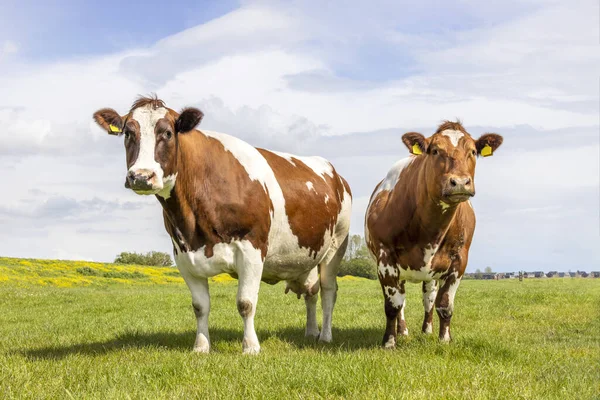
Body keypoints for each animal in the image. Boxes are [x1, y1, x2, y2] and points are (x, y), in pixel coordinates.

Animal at [93, 96, 352, 354]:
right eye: (128, 133)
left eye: (167, 133)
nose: (141, 176)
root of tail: (336, 175)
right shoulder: (183, 255)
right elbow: (200, 306)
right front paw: (201, 346)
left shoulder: (252, 249)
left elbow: (246, 303)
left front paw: (250, 347)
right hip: (306, 257)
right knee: (311, 293)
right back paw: (310, 332)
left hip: (335, 246)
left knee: (328, 291)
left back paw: (325, 336)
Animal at [366, 119, 502, 346]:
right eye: (436, 150)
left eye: (473, 152)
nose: (460, 182)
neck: (430, 228)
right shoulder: (385, 259)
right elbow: (393, 305)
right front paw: (389, 342)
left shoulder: (459, 261)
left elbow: (444, 304)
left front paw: (444, 339)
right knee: (402, 302)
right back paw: (403, 331)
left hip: (432, 273)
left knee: (429, 298)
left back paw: (427, 330)